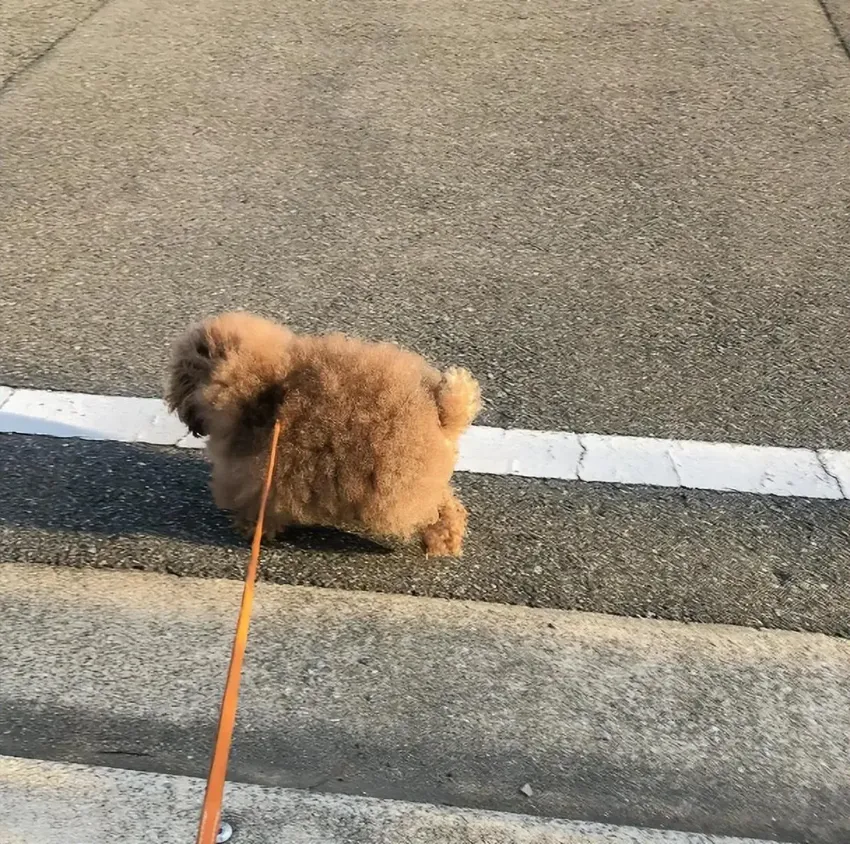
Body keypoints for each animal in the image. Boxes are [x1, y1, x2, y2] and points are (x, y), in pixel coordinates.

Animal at [165, 314, 480, 556]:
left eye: (182, 375)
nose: (174, 403)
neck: (260, 388)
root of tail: (440, 410)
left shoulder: (263, 470)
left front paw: (254, 529)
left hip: (401, 483)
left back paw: (439, 542)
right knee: (447, 505)